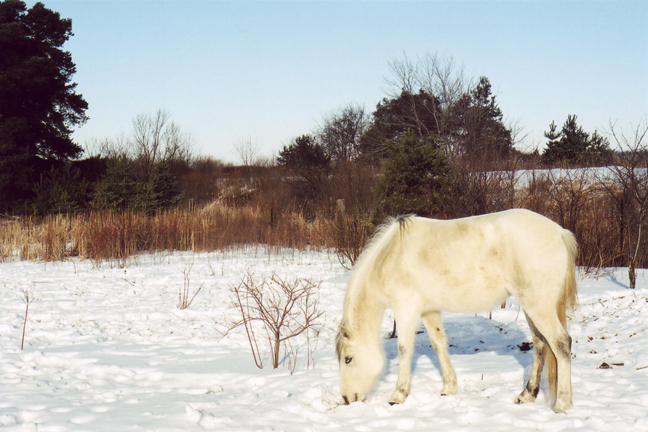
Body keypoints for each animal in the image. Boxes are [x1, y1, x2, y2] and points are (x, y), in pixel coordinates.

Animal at [336, 209, 578, 413]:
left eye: (348, 359)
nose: (347, 398)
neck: (391, 255)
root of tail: (559, 232)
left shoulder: (405, 309)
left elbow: (404, 349)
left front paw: (398, 395)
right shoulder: (429, 311)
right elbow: (439, 344)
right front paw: (449, 388)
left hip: (537, 305)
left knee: (560, 343)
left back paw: (562, 403)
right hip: (530, 306)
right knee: (540, 344)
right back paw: (527, 395)